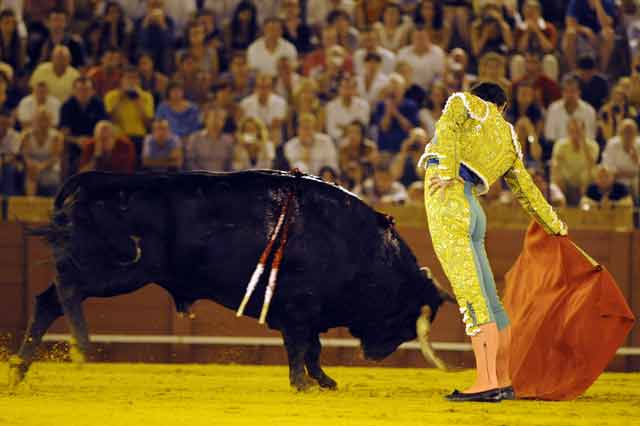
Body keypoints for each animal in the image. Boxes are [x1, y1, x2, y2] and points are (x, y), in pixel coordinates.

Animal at [7, 171, 452, 392]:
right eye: (402, 314)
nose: (375, 354)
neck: (360, 247)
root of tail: (99, 182)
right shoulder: (299, 310)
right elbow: (302, 347)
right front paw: (304, 384)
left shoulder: (306, 313)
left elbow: (313, 349)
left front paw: (323, 381)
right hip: (113, 270)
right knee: (62, 293)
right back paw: (79, 346)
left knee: (48, 300)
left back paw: (19, 369)